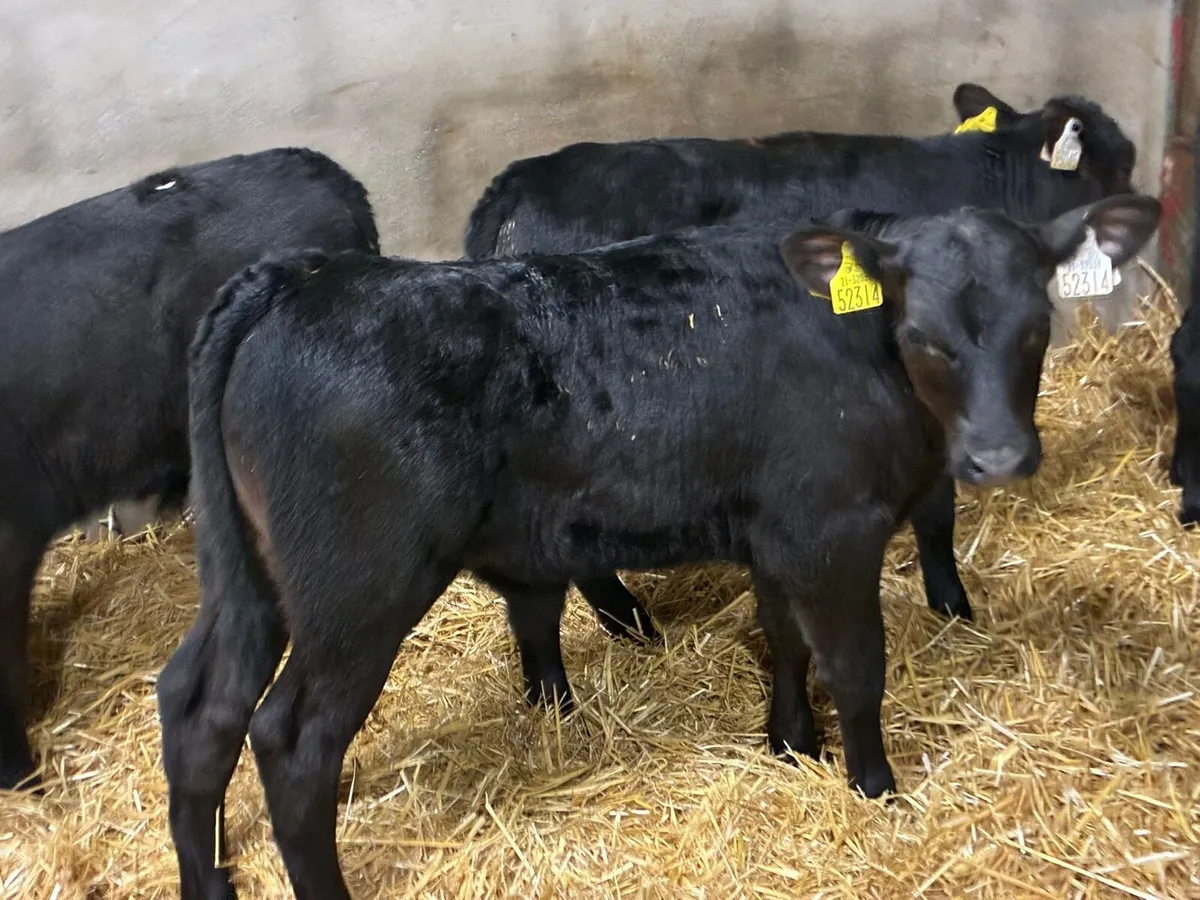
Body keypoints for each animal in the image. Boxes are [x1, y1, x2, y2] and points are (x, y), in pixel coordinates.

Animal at [156, 193, 1160, 899]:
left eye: (1038, 326)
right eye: (924, 336)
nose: (999, 457)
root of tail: (303, 278)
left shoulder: (776, 530)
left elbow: (784, 640)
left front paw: (790, 745)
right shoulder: (832, 529)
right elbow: (854, 665)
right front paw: (873, 785)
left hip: (253, 577)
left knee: (199, 703)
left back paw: (210, 881)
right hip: (357, 588)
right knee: (290, 740)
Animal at [462, 82, 1140, 636]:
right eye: (1120, 161)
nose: (1137, 210)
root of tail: (518, 180)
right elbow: (936, 510)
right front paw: (952, 604)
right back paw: (633, 624)